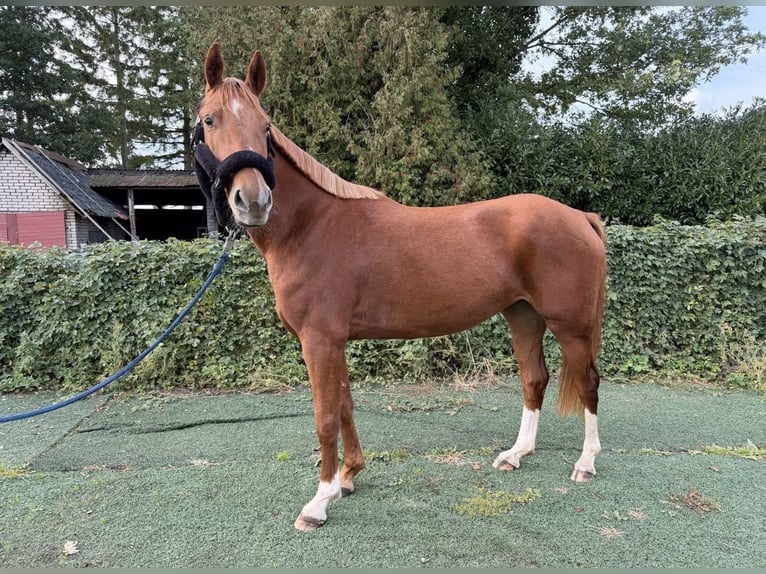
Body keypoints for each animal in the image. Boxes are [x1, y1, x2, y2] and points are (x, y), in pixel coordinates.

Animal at [194, 44, 608, 532]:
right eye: (209, 120)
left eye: (265, 126)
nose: (253, 201)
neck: (310, 227)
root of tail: (579, 216)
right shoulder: (332, 342)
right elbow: (345, 406)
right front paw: (348, 478)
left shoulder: (319, 341)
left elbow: (325, 417)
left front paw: (318, 503)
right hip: (523, 315)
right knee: (534, 378)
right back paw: (515, 454)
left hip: (570, 325)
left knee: (588, 383)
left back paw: (586, 463)